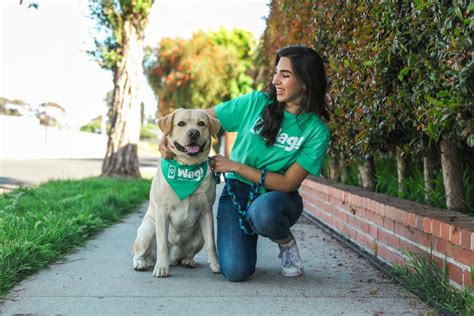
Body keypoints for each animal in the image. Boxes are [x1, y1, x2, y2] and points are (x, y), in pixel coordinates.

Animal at [133, 108, 220, 276]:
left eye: (201, 124)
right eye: (181, 124)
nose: (193, 133)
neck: (186, 167)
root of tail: (174, 257)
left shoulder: (206, 210)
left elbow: (212, 243)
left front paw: (216, 265)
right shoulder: (162, 211)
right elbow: (162, 245)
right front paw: (161, 267)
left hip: (199, 234)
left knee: (189, 252)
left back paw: (187, 260)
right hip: (148, 229)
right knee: (139, 252)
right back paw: (141, 263)